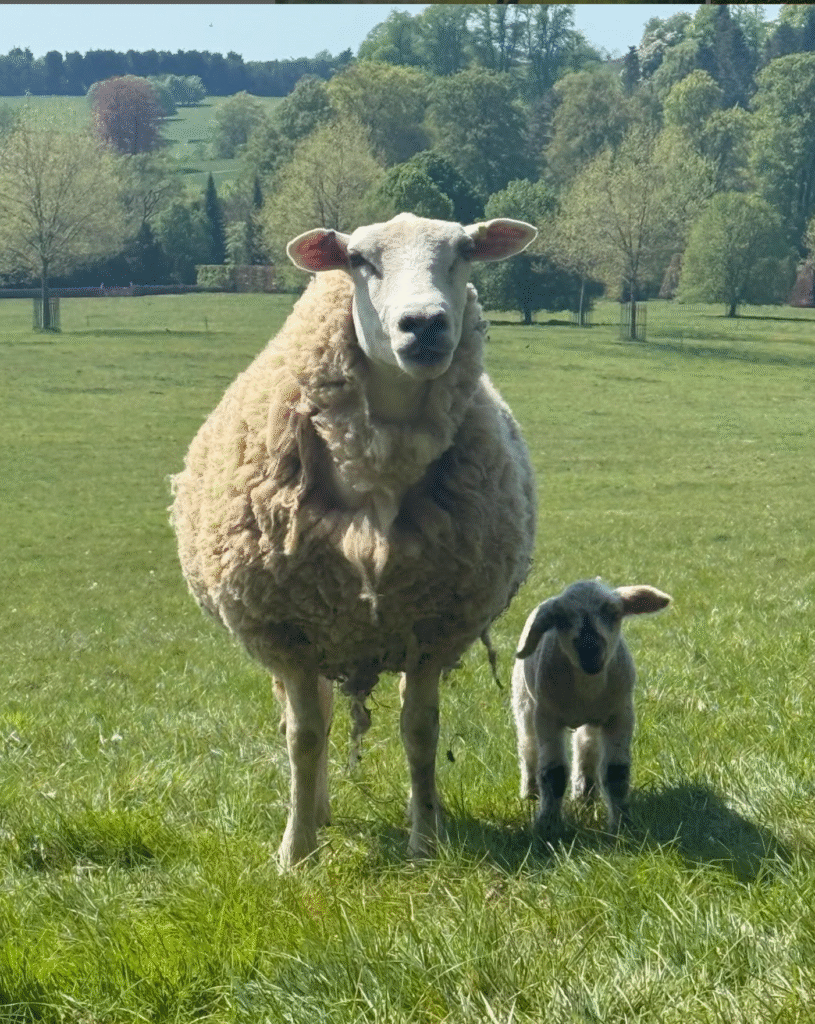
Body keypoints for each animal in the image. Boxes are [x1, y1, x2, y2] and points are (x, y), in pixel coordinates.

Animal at [171, 212, 538, 867]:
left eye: (464, 252)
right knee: (311, 718)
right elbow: (304, 738)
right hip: (316, 626)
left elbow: (420, 732)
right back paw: (314, 812)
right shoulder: (288, 632)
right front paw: (296, 854)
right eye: (360, 260)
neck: (380, 471)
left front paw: (425, 843)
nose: (424, 324)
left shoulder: (430, 630)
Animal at [512, 579, 671, 837]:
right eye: (560, 619)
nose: (590, 652)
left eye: (614, 613)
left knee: (586, 746)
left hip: (594, 719)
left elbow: (616, 773)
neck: (587, 689)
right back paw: (531, 792)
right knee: (528, 745)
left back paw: (585, 793)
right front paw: (548, 825)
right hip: (524, 702)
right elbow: (554, 774)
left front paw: (622, 826)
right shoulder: (547, 717)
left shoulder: (620, 714)